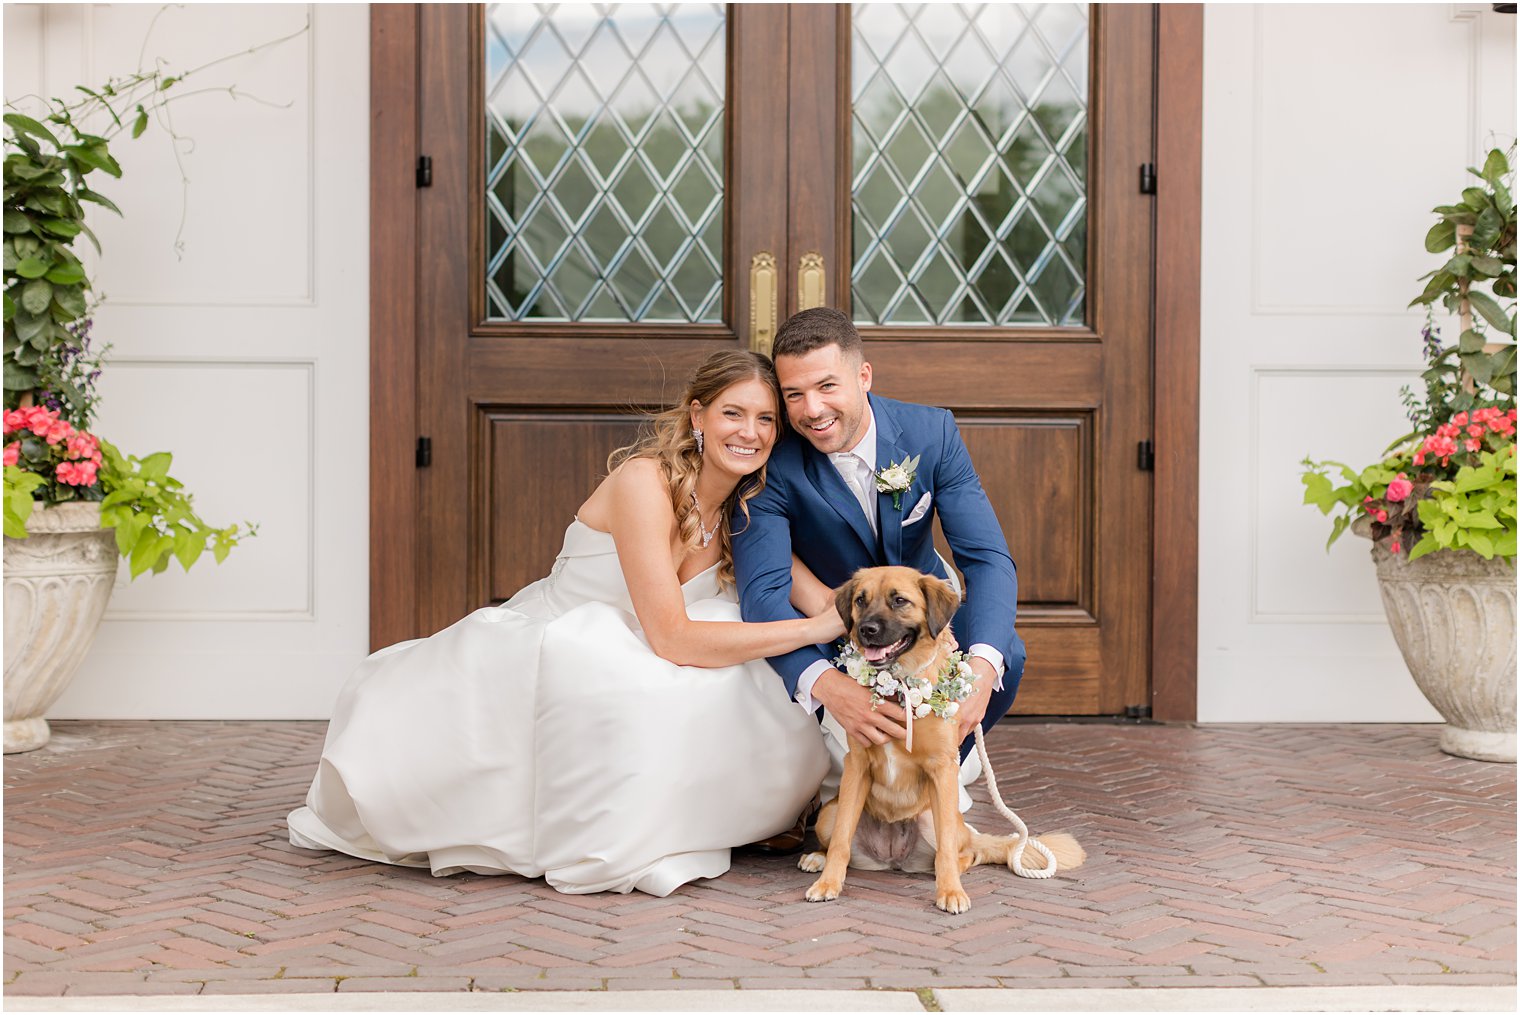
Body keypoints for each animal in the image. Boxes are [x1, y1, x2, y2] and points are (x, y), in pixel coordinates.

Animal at [802, 568, 1088, 917]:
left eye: (900, 600)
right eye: (860, 600)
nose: (866, 630)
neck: (900, 684)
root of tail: (892, 858)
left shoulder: (943, 768)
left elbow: (948, 851)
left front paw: (951, 891)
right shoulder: (856, 766)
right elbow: (841, 841)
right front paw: (828, 883)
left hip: (935, 819)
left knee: (963, 852)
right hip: (829, 813)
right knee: (834, 839)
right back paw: (817, 858)